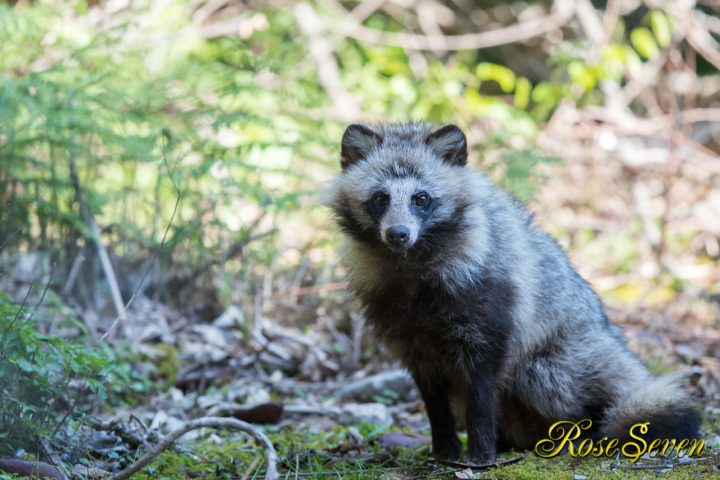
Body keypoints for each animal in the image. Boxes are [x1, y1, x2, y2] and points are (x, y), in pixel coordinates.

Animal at [330, 123, 700, 462]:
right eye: (380, 199)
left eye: (421, 199)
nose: (398, 233)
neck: (410, 265)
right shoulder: (406, 331)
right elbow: (433, 397)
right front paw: (445, 448)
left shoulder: (488, 304)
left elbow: (482, 388)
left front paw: (480, 453)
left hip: (567, 359)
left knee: (551, 380)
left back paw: (582, 429)